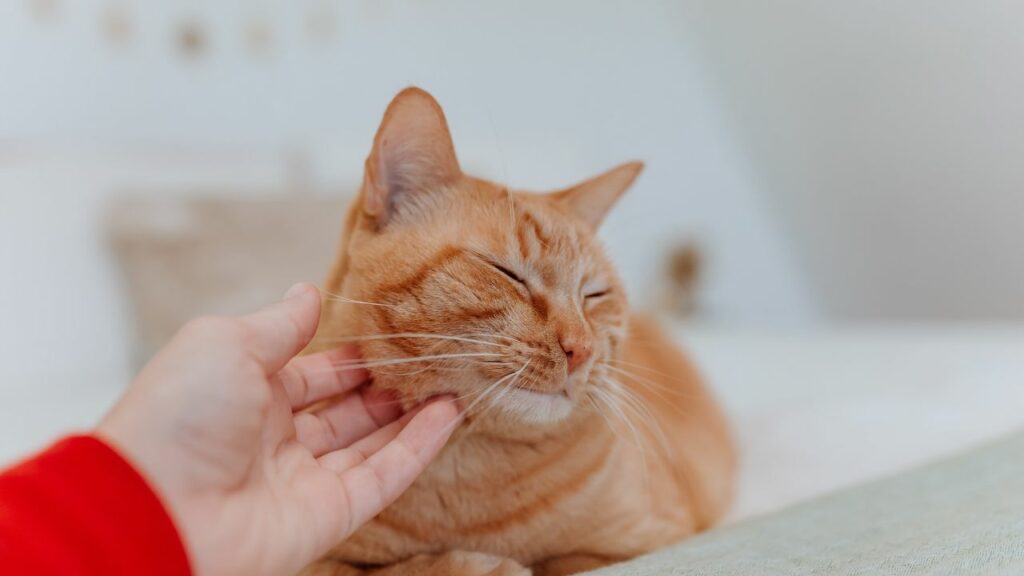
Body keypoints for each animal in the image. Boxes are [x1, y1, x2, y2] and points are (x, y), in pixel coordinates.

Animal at [299, 87, 733, 569]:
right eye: (508, 273)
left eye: (594, 294)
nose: (581, 349)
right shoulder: (311, 562)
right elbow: (393, 569)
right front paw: (473, 565)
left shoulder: (645, 542)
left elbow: (559, 562)